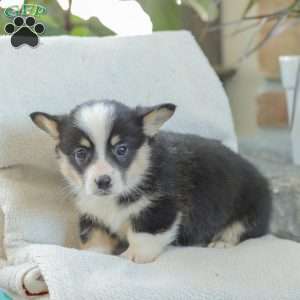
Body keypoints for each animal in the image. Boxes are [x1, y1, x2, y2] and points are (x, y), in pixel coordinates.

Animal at [30, 100, 272, 262]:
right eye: (81, 153)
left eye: (121, 149)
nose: (103, 181)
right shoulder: (93, 214)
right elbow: (95, 236)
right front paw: (93, 254)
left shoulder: (159, 208)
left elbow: (142, 234)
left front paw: (134, 255)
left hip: (251, 209)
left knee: (241, 230)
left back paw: (221, 242)